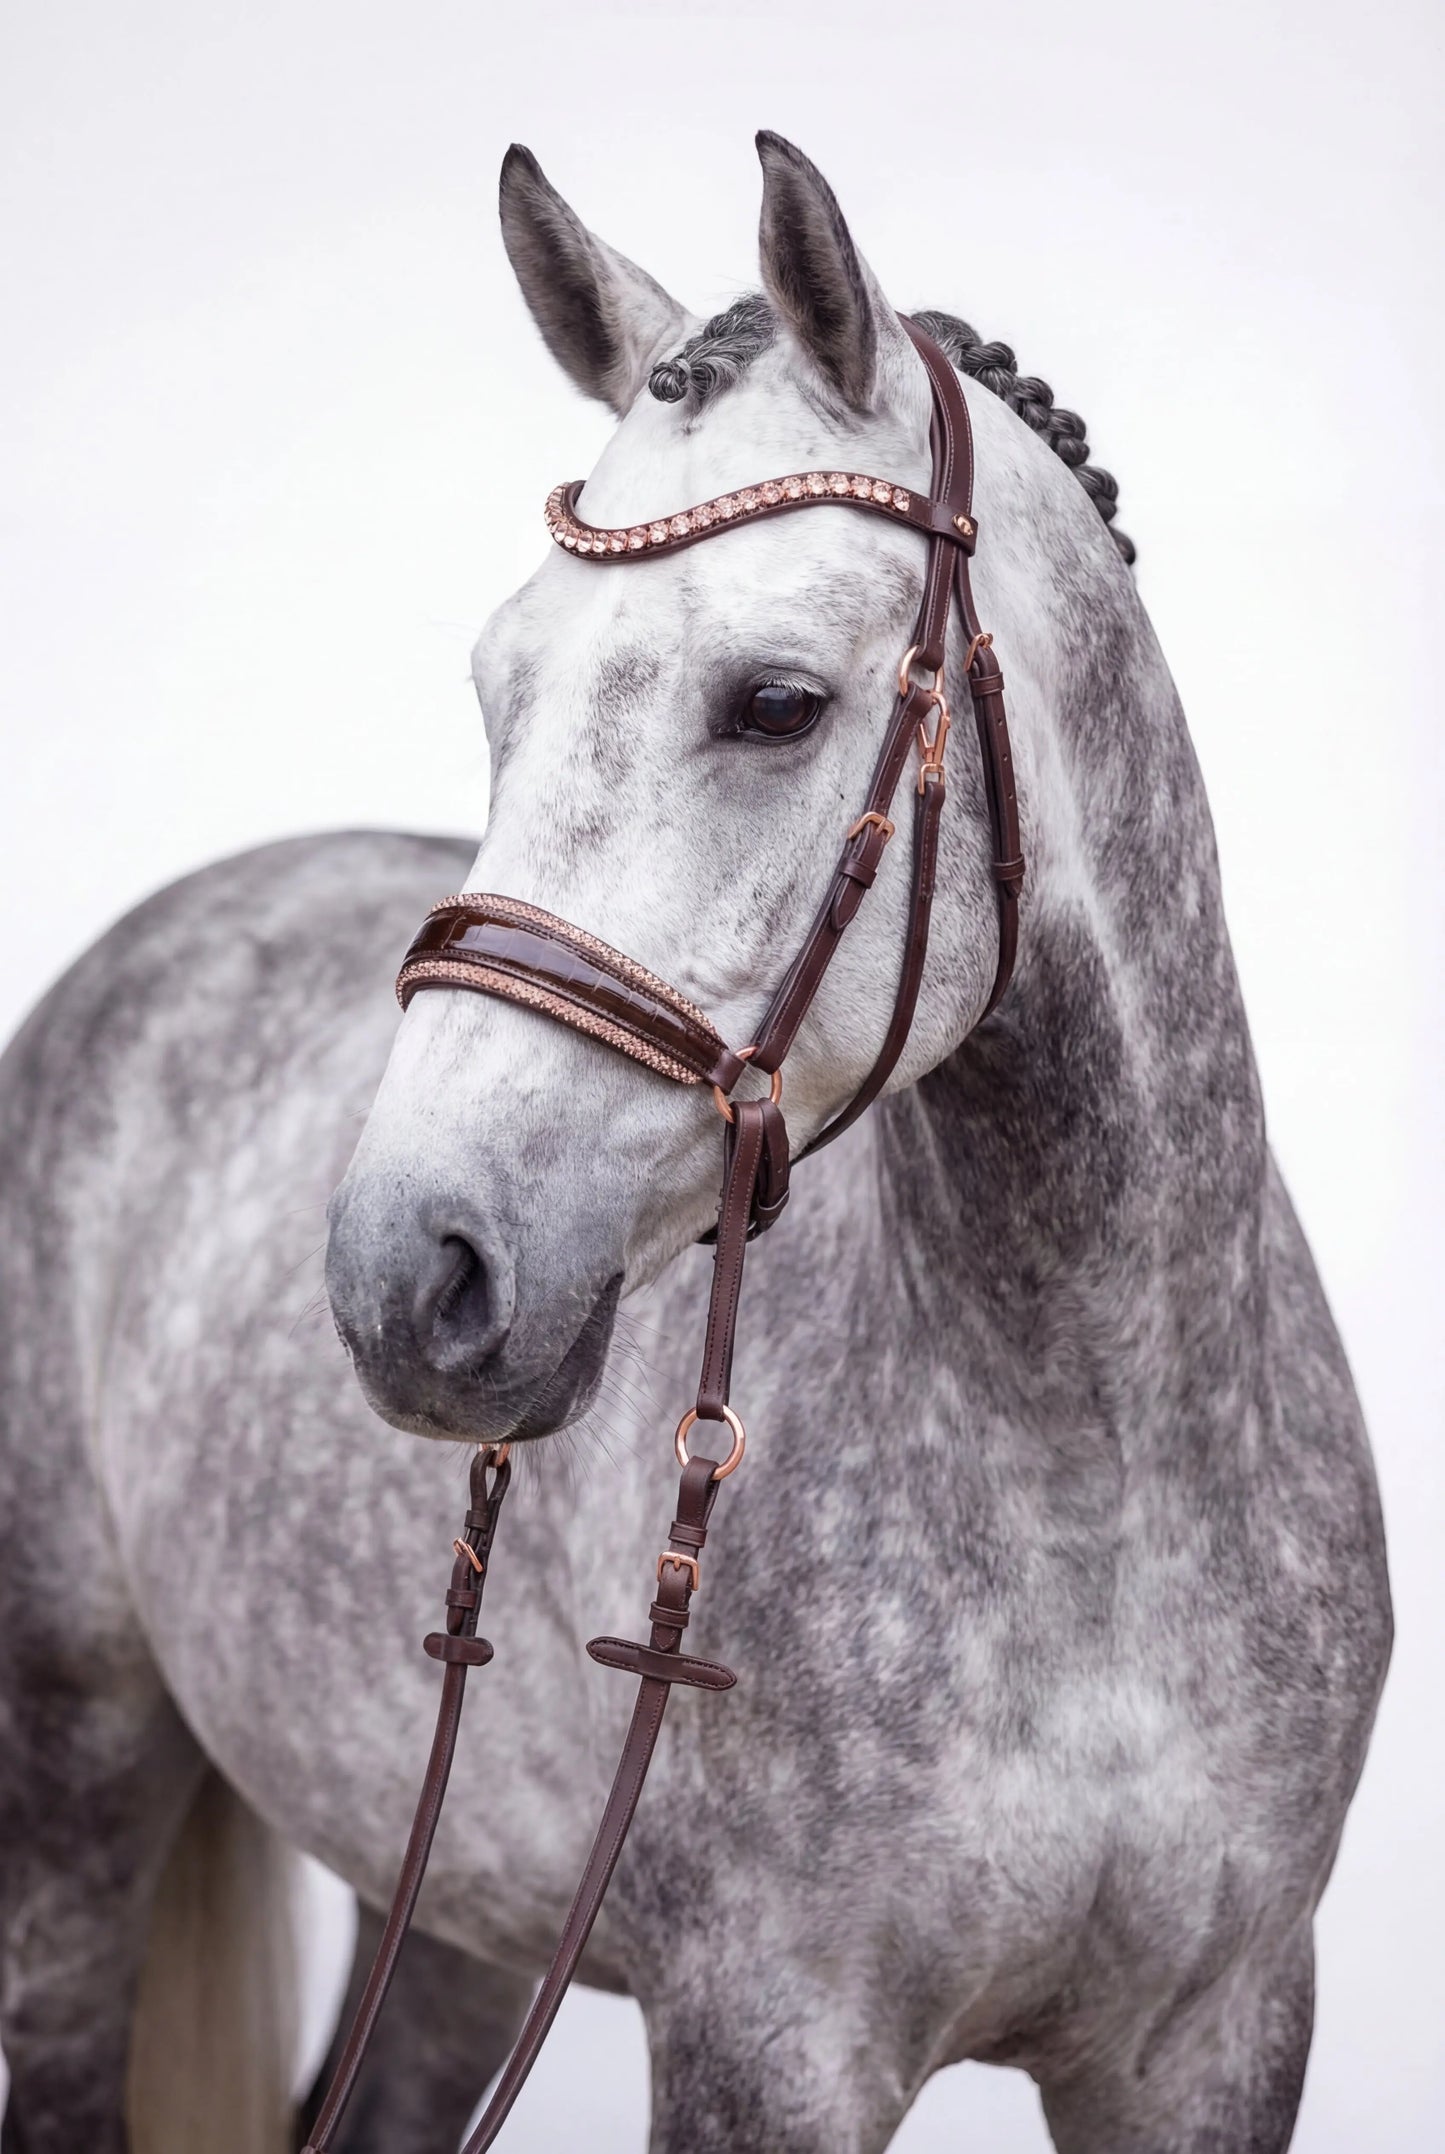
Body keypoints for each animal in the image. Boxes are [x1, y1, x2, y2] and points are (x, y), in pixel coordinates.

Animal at [0, 133, 1391, 2154]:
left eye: (778, 703)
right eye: (498, 686)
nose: (407, 1272)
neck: (1102, 1483)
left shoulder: (1215, 2040)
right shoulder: (768, 2038)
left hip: (452, 1902)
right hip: (75, 1771)